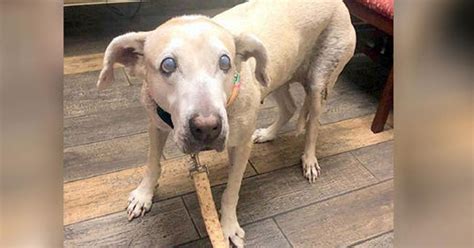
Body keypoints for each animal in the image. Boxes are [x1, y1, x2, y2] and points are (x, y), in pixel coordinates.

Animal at [97, 0, 356, 246]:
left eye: (225, 62)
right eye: (167, 65)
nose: (207, 128)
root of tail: (341, 5)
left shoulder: (240, 147)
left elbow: (232, 190)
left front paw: (228, 226)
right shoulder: (156, 123)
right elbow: (152, 163)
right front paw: (144, 194)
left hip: (320, 80)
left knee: (313, 124)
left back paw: (309, 160)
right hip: (275, 75)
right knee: (289, 107)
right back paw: (267, 134)